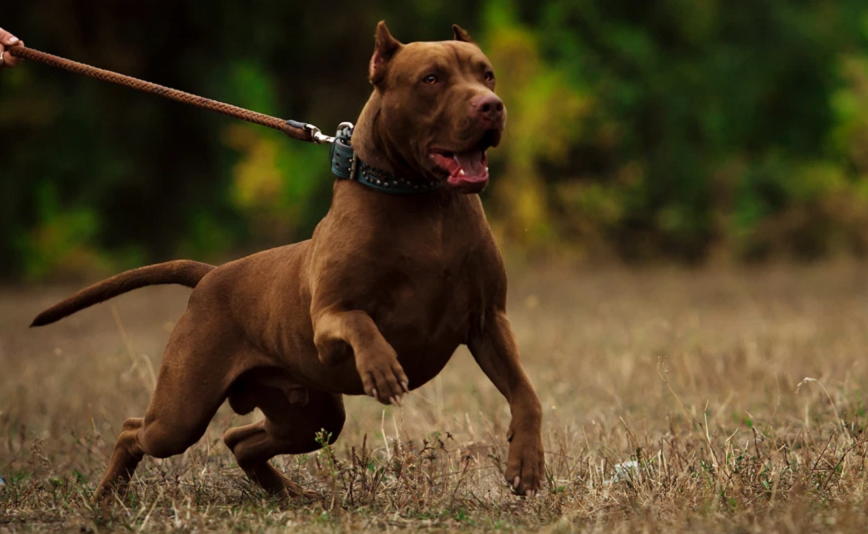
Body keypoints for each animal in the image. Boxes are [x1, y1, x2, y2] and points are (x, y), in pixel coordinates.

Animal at [32, 22, 544, 502]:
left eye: (487, 75)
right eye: (432, 78)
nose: (491, 106)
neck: (424, 201)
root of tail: (212, 274)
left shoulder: (488, 321)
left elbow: (525, 393)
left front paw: (527, 462)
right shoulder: (327, 320)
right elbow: (361, 322)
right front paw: (381, 367)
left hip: (311, 414)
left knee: (239, 440)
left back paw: (289, 494)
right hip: (182, 414)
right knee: (135, 431)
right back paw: (107, 497)